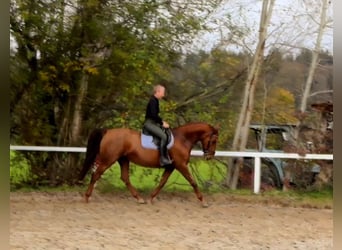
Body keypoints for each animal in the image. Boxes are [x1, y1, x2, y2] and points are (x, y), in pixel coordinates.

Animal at [78, 122, 218, 206]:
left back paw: (139, 198)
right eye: (214, 140)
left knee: (125, 178)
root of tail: (108, 131)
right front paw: (203, 201)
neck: (182, 139)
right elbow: (193, 182)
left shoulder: (171, 166)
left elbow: (162, 182)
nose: (210, 156)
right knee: (96, 174)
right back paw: (87, 197)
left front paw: (151, 198)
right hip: (109, 159)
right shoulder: (181, 165)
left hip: (123, 159)